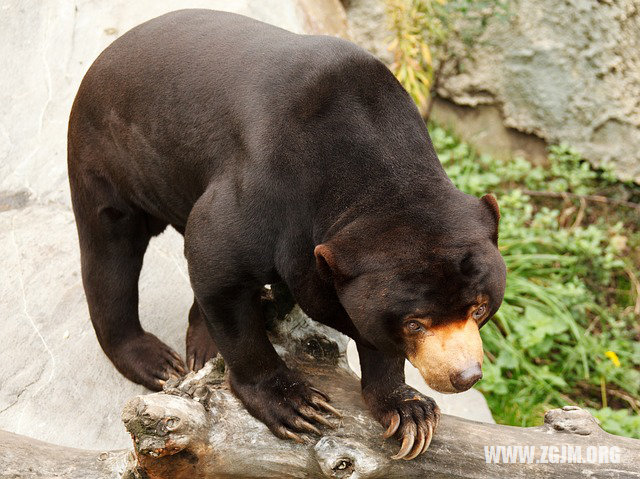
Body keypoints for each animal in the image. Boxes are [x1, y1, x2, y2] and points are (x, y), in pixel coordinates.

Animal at [67, 9, 508, 460]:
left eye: (478, 309)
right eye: (415, 324)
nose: (464, 376)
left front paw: (409, 411)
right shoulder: (269, 190)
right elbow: (214, 259)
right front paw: (294, 403)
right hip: (105, 154)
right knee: (109, 253)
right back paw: (157, 360)